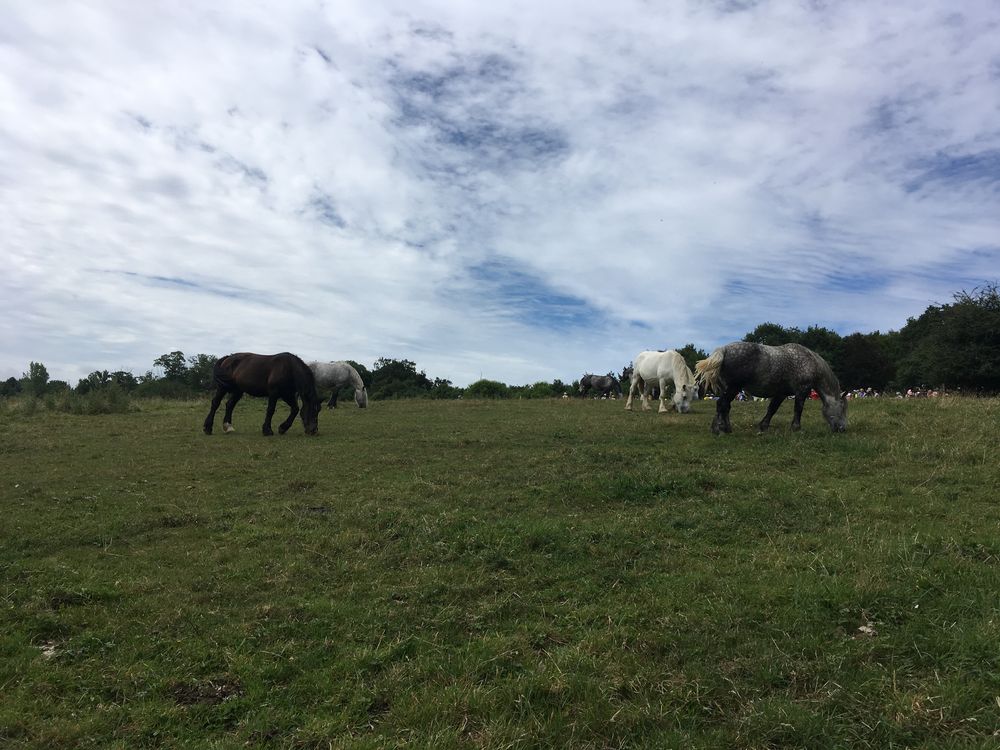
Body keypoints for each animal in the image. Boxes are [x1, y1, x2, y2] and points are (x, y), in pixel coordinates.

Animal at [695, 342, 847, 434]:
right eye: (842, 409)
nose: (842, 429)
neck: (809, 362)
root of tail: (724, 350)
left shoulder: (781, 393)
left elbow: (772, 409)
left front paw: (763, 426)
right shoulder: (802, 391)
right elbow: (798, 409)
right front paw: (796, 428)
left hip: (730, 389)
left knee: (724, 406)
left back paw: (724, 428)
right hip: (733, 388)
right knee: (722, 404)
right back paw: (720, 429)